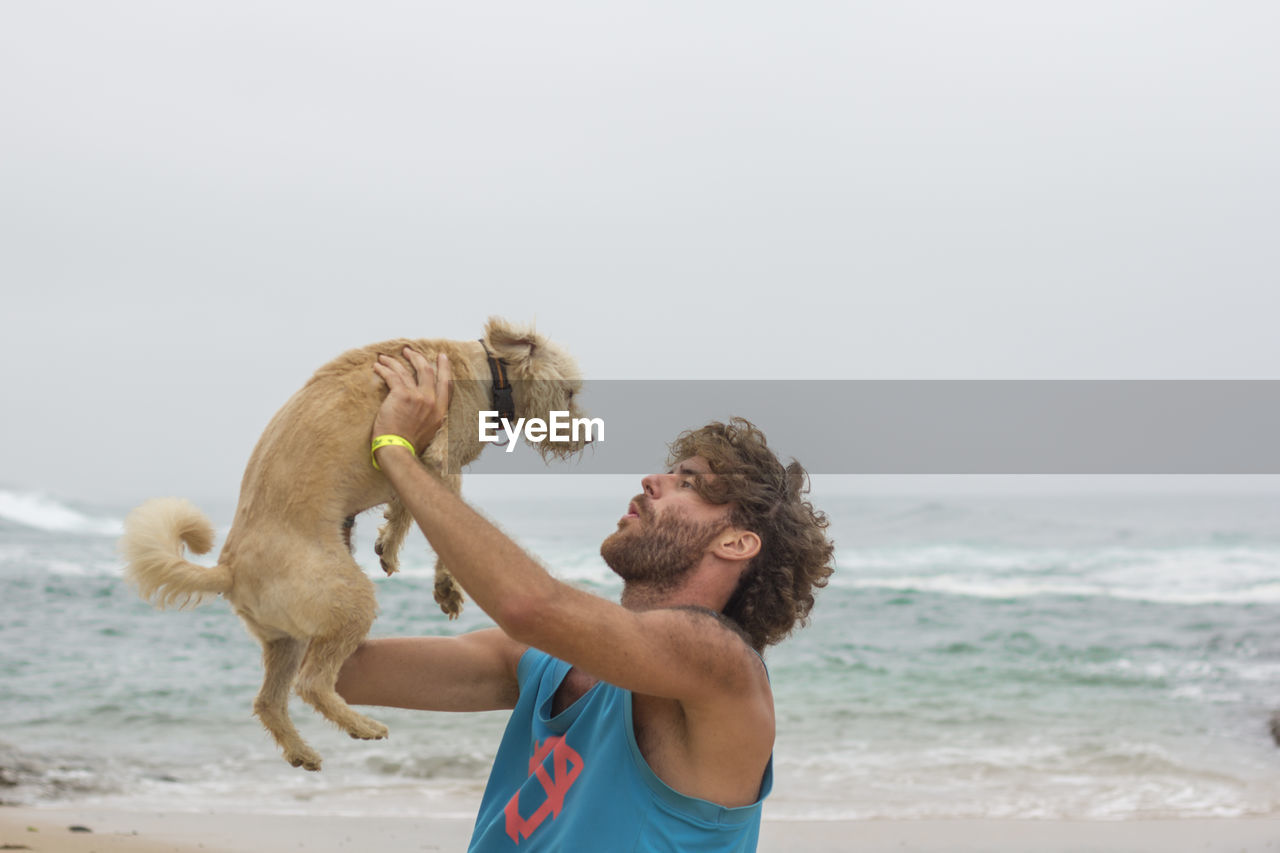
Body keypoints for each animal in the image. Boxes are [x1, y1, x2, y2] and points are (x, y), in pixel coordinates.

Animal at [120, 315, 586, 768]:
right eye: (569, 391)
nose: (588, 437)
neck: (491, 371)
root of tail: (229, 568)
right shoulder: (442, 460)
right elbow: (441, 526)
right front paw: (446, 586)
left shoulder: (412, 467)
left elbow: (403, 510)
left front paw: (389, 547)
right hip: (350, 602)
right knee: (311, 684)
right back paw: (362, 725)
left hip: (287, 638)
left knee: (269, 700)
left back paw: (301, 750)